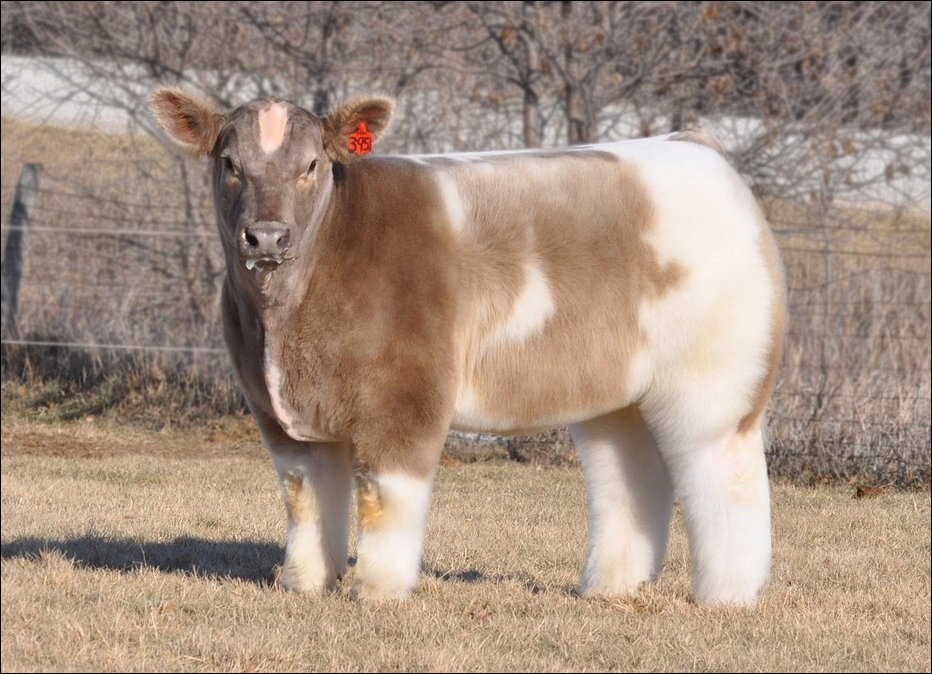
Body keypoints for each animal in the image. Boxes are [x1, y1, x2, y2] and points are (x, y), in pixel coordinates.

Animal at [150, 89, 785, 606]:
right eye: (230, 164)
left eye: (311, 165)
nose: (267, 237)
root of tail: (695, 144)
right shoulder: (277, 412)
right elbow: (306, 500)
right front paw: (305, 584)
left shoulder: (406, 396)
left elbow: (385, 498)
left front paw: (377, 592)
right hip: (617, 394)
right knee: (629, 477)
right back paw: (609, 587)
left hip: (715, 383)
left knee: (723, 477)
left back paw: (727, 595)